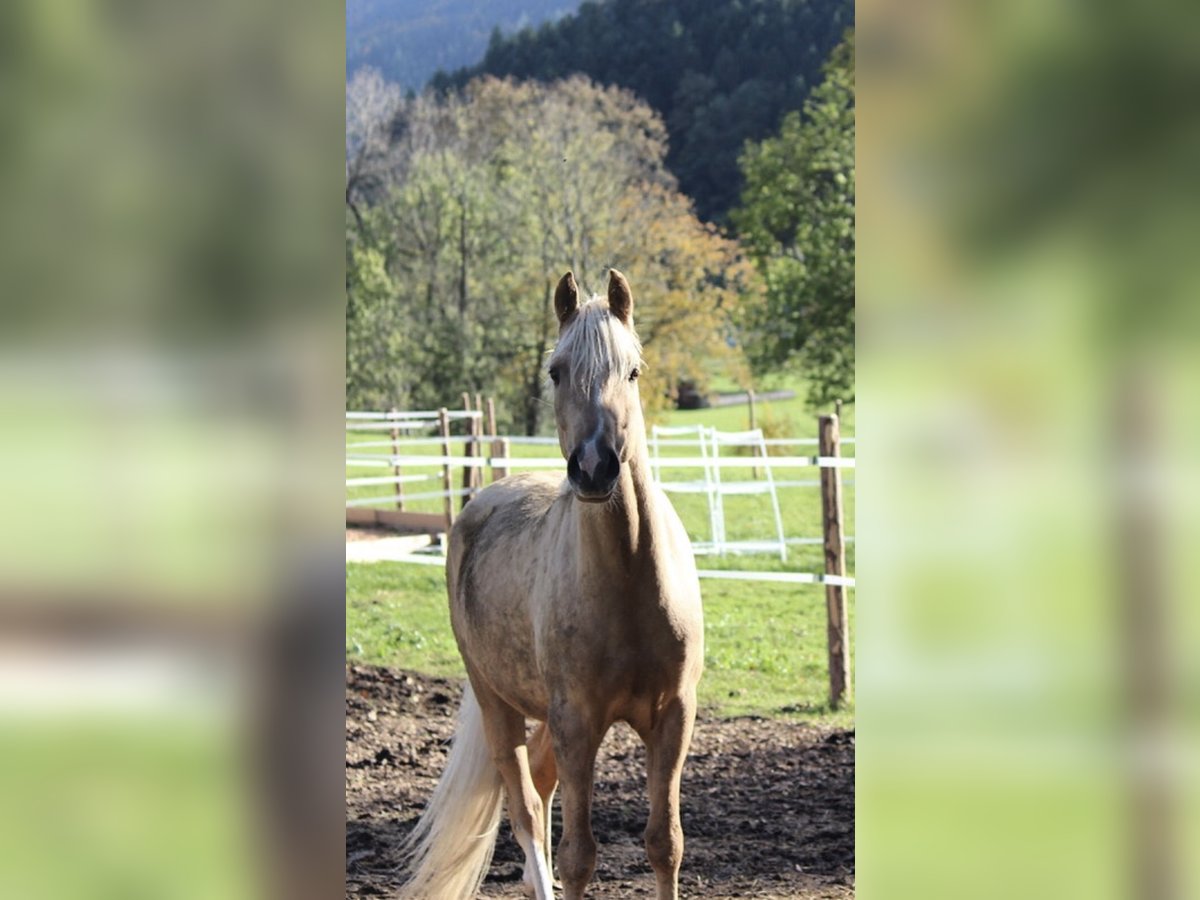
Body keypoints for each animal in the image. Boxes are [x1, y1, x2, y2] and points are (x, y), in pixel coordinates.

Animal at [398, 270, 705, 900]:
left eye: (632, 371)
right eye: (557, 371)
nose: (593, 467)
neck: (632, 584)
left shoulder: (674, 718)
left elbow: (665, 843)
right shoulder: (576, 723)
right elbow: (577, 855)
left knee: (538, 790)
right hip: (497, 705)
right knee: (526, 811)